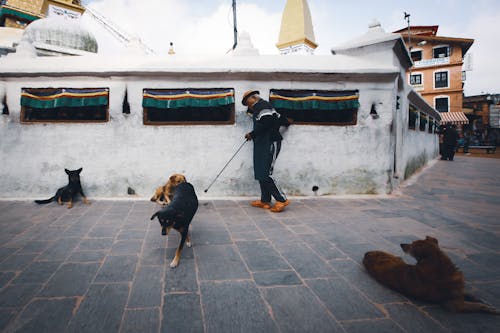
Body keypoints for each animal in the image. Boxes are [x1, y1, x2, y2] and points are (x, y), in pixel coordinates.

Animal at [364, 235, 500, 312]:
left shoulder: (458, 291)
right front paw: (490, 308)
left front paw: (483, 301)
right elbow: (475, 306)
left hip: (396, 258)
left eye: (412, 244)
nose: (401, 244)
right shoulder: (454, 304)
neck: (439, 267)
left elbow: (471, 295)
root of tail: (366, 254)